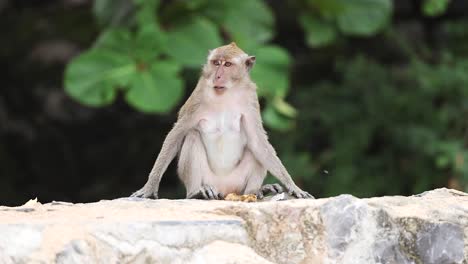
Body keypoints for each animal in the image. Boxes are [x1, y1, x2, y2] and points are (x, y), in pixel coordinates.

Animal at [132, 42, 312, 200]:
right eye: (216, 63)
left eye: (227, 65)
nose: (217, 76)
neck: (226, 92)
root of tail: (225, 191)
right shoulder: (199, 96)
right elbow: (175, 136)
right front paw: (150, 187)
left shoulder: (250, 98)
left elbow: (258, 142)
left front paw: (292, 186)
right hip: (209, 180)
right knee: (192, 136)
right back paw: (196, 193)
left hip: (237, 183)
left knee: (254, 150)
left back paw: (256, 191)